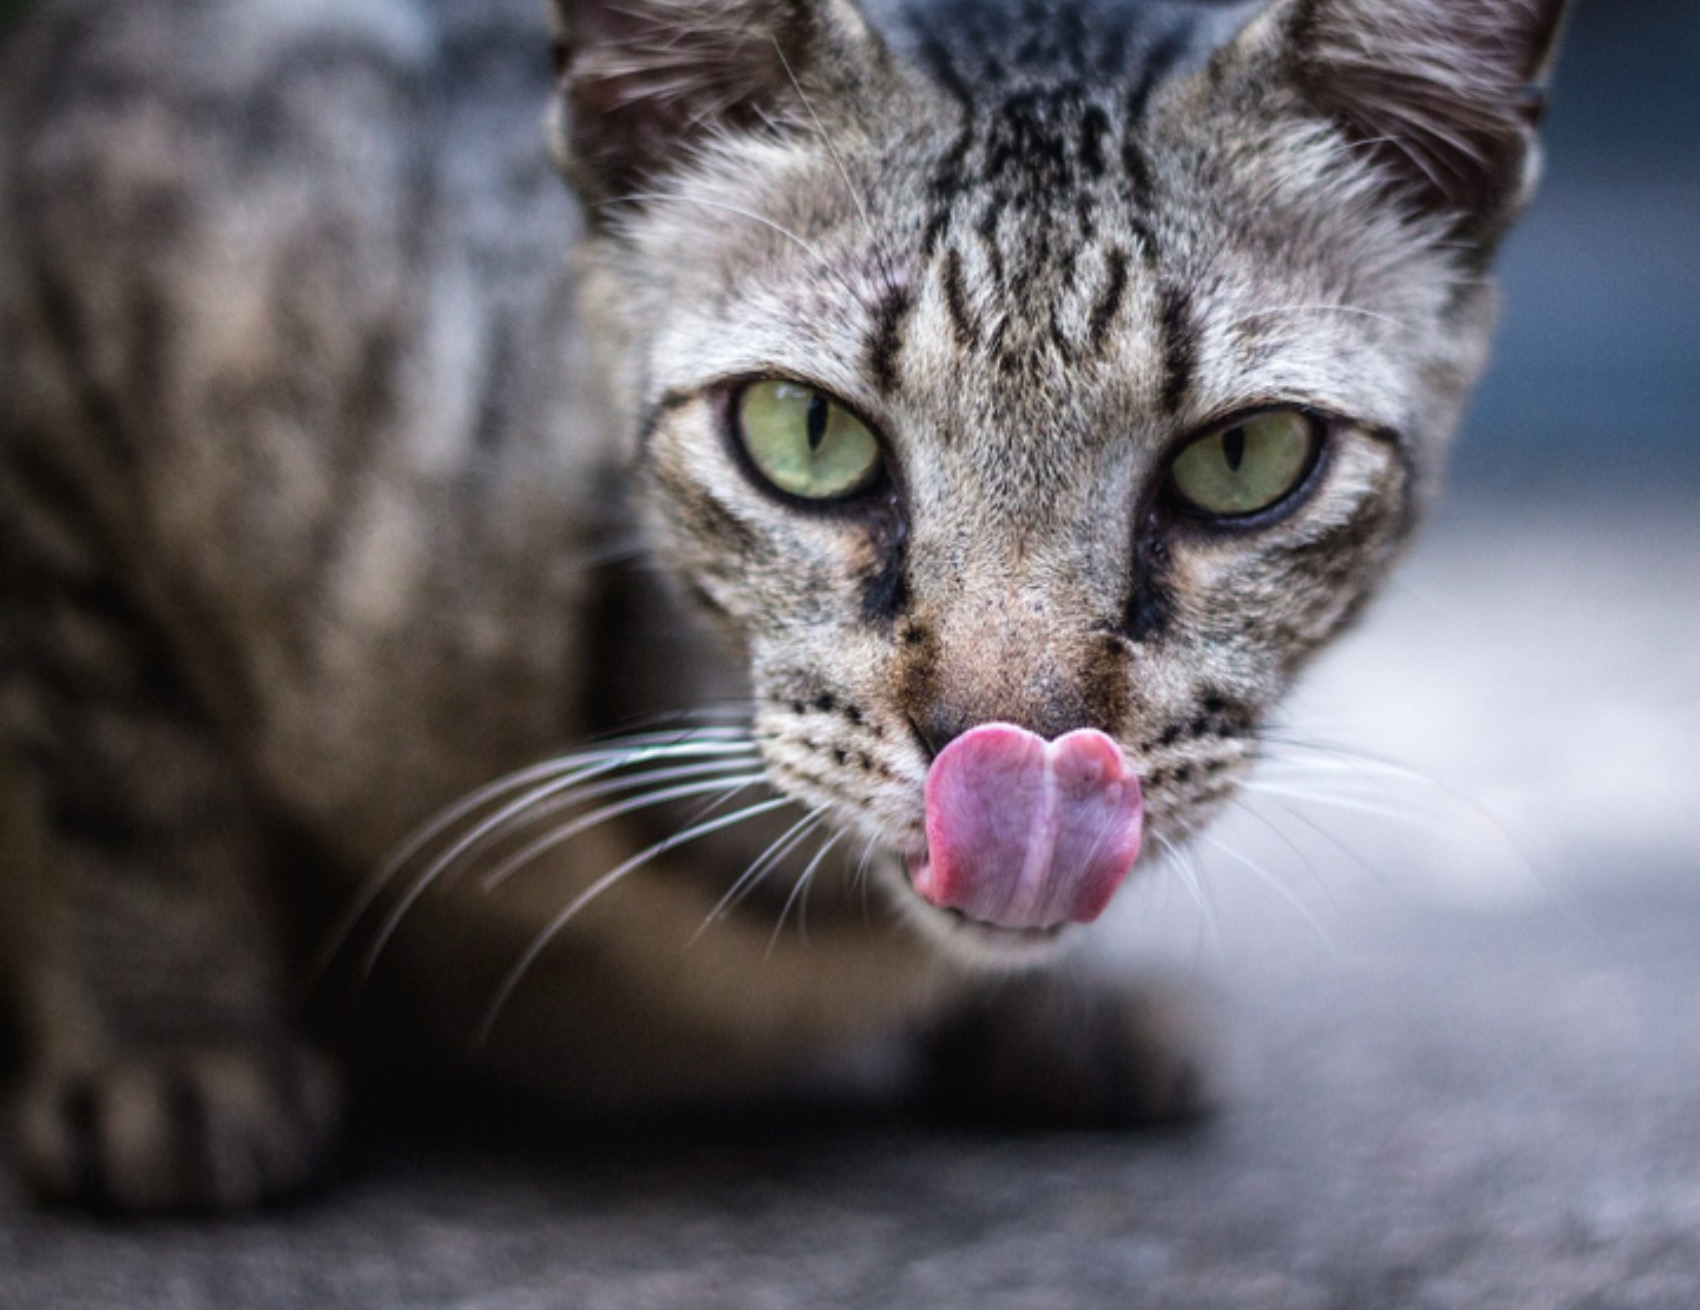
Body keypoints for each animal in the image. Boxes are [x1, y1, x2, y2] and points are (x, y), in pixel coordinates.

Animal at [0, 0, 1564, 1216]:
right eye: (804, 433)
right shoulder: (78, 297)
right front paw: (174, 1042)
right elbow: (121, 757)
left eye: (1244, 460)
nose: (1018, 751)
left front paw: (1056, 1012)